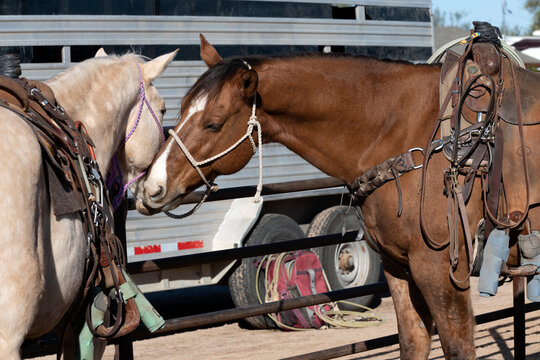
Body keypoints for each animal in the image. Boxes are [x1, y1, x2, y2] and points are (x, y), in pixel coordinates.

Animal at [136, 34, 540, 360]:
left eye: (213, 124)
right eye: (178, 109)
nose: (151, 188)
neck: (409, 134)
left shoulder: (440, 271)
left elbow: (458, 347)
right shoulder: (399, 267)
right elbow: (413, 343)